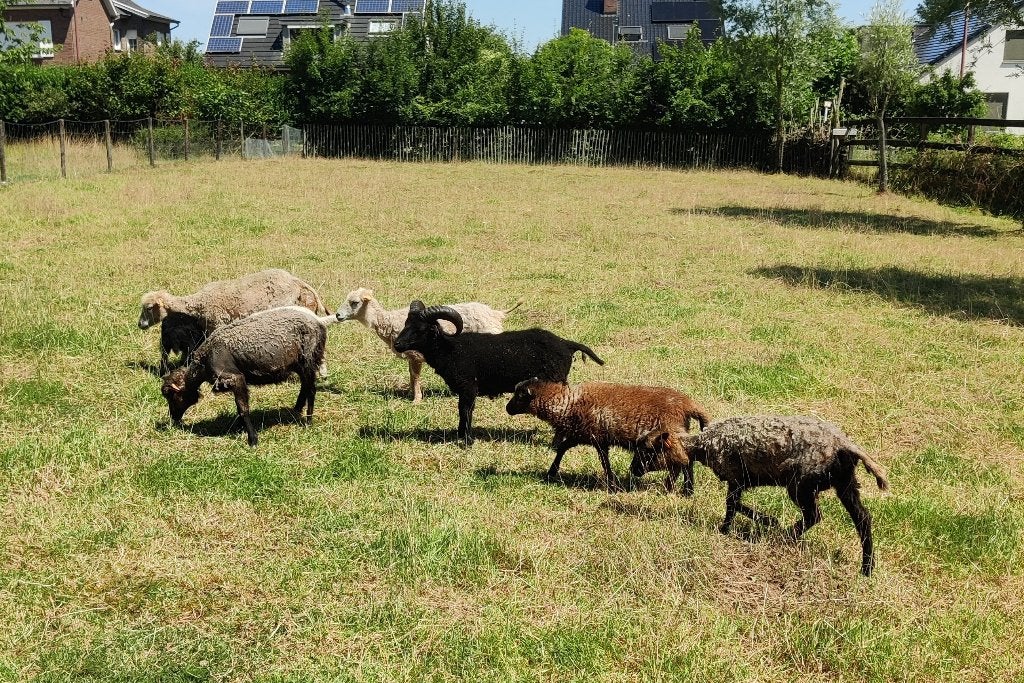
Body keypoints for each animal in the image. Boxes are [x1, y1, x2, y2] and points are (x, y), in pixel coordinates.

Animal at [160, 306, 338, 447]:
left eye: (172, 396)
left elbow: (243, 409)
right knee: (305, 386)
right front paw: (239, 428)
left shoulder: (235, 378)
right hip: (298, 363)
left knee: (312, 389)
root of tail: (318, 322)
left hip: (309, 358)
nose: (173, 418)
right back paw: (296, 409)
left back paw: (308, 421)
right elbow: (239, 407)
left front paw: (252, 439)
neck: (204, 362)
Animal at [336, 287, 521, 403]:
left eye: (354, 302)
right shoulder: (411, 356)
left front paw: (416, 400)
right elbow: (411, 376)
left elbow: (416, 376)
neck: (388, 320)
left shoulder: (416, 355)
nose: (337, 315)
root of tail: (496, 313)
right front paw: (411, 394)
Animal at [392, 301, 605, 445]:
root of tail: (566, 344)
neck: (449, 349)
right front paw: (460, 435)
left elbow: (465, 411)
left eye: (421, 329)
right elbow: (463, 411)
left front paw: (467, 441)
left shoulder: (469, 386)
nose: (397, 344)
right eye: (406, 323)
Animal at [505, 379, 710, 493]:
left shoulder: (596, 437)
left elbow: (604, 461)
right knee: (683, 462)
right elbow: (563, 448)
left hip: (668, 437)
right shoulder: (582, 435)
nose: (507, 409)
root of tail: (688, 404)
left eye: (520, 395)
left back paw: (686, 490)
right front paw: (551, 473)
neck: (568, 404)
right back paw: (682, 490)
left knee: (685, 462)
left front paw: (611, 485)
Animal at [633, 415, 889, 576]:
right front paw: (734, 527)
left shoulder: (736, 477)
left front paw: (755, 523)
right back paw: (867, 568)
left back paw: (784, 536)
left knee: (814, 515)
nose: (632, 471)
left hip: (802, 483)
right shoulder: (739, 481)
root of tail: (845, 445)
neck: (703, 445)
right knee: (862, 518)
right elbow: (734, 505)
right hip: (844, 482)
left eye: (647, 451)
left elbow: (732, 505)